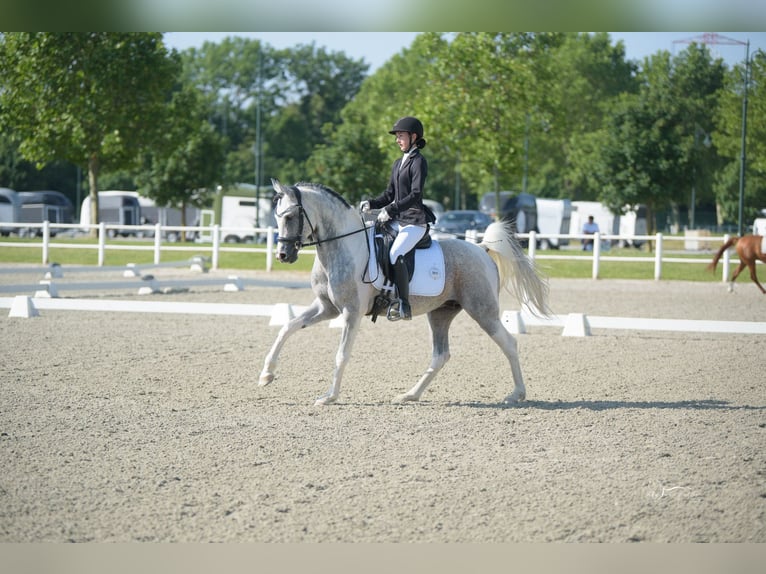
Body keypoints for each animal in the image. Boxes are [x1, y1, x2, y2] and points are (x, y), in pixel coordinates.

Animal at [259, 179, 551, 406]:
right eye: (277, 217)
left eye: (290, 217)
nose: (283, 255)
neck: (343, 247)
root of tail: (482, 249)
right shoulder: (326, 308)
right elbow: (287, 327)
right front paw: (266, 375)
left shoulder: (351, 312)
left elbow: (342, 354)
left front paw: (329, 397)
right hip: (441, 313)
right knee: (440, 355)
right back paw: (409, 395)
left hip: (482, 310)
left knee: (509, 343)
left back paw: (516, 394)